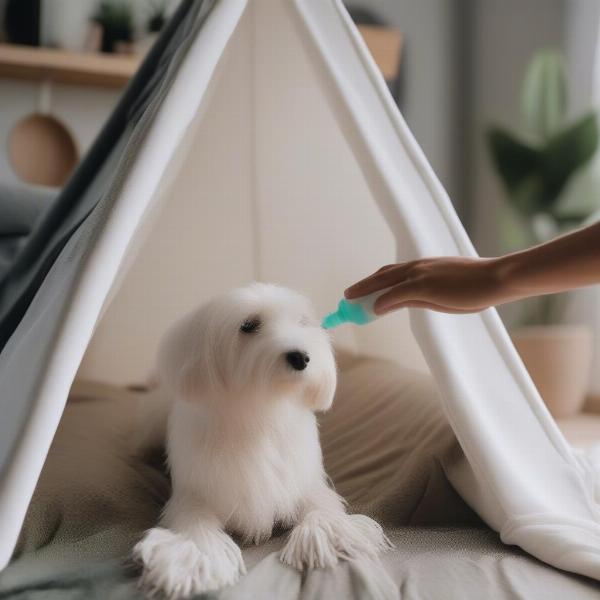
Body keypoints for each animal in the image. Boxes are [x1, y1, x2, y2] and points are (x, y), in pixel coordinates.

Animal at [132, 284, 390, 596]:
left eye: (301, 323)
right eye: (248, 325)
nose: (301, 357)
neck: (263, 408)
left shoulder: (302, 479)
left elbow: (320, 504)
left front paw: (326, 533)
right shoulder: (195, 491)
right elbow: (194, 523)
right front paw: (199, 555)